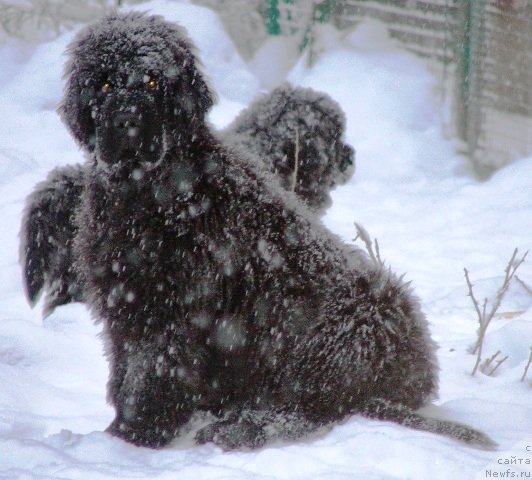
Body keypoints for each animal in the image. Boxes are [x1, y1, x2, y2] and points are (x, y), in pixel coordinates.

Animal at [20, 13, 494, 452]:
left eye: (153, 79)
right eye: (103, 85)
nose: (126, 122)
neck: (153, 189)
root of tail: (412, 386)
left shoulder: (178, 313)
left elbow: (155, 374)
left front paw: (136, 437)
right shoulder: (127, 304)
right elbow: (127, 374)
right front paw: (123, 432)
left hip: (348, 322)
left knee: (313, 411)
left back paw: (239, 428)